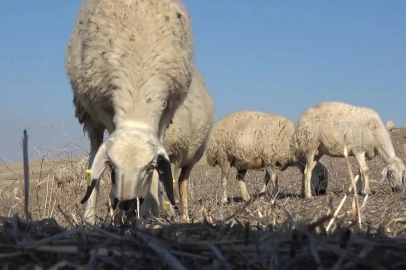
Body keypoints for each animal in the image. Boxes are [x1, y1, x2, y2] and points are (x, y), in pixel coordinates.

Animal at [65, 0, 195, 224]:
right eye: (112, 167)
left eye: (149, 168)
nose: (126, 204)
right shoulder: (101, 106)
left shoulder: (168, 109)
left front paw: (151, 212)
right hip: (89, 113)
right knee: (95, 150)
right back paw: (90, 216)